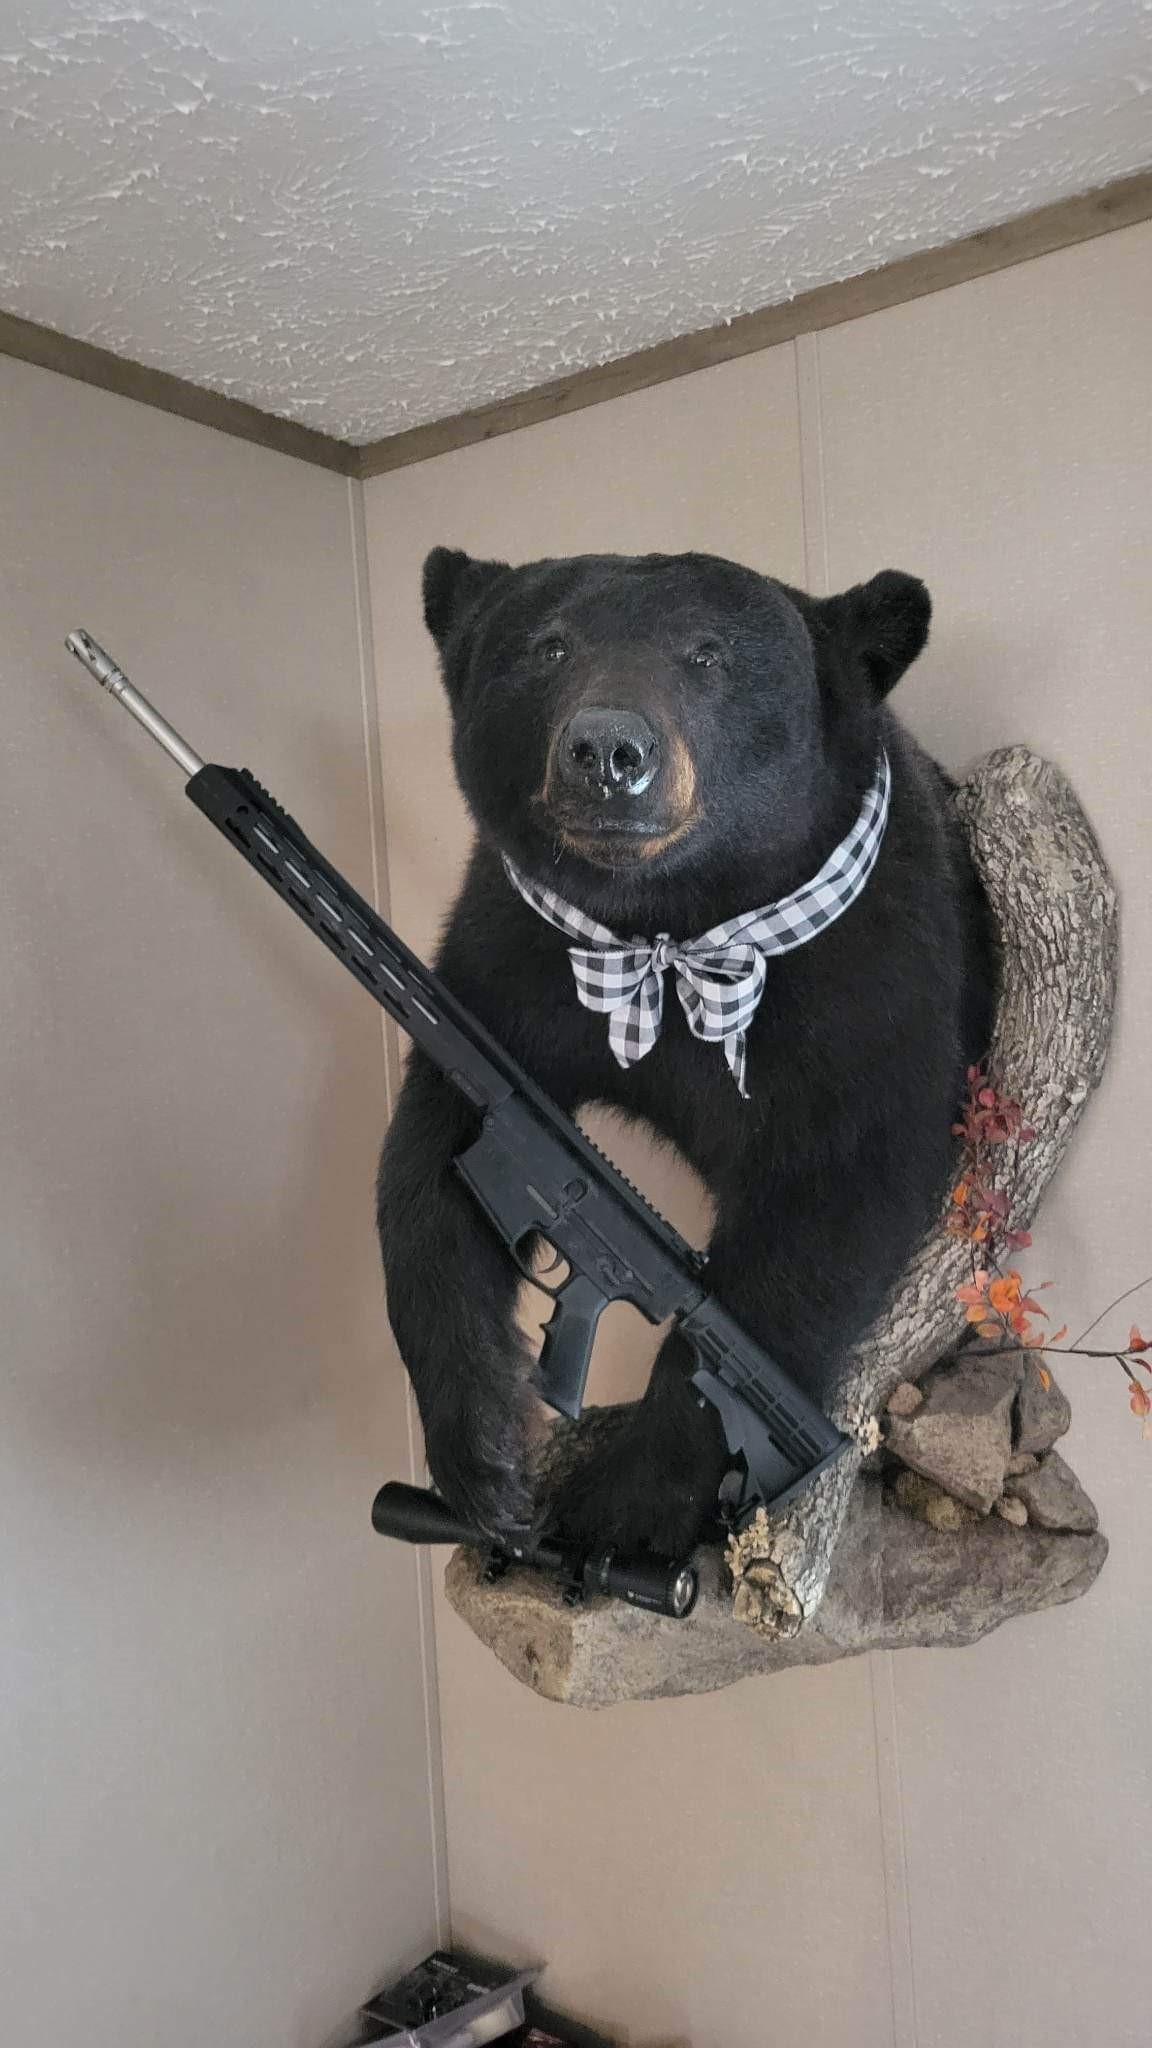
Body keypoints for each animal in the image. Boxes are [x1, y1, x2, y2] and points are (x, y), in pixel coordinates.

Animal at [376, 546, 999, 1557]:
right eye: (548, 645)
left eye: (708, 655)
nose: (607, 752)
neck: (671, 926)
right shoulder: (513, 959)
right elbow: (432, 1164)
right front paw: (484, 1454)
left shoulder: (875, 978)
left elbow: (831, 1206)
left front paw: (629, 1503)